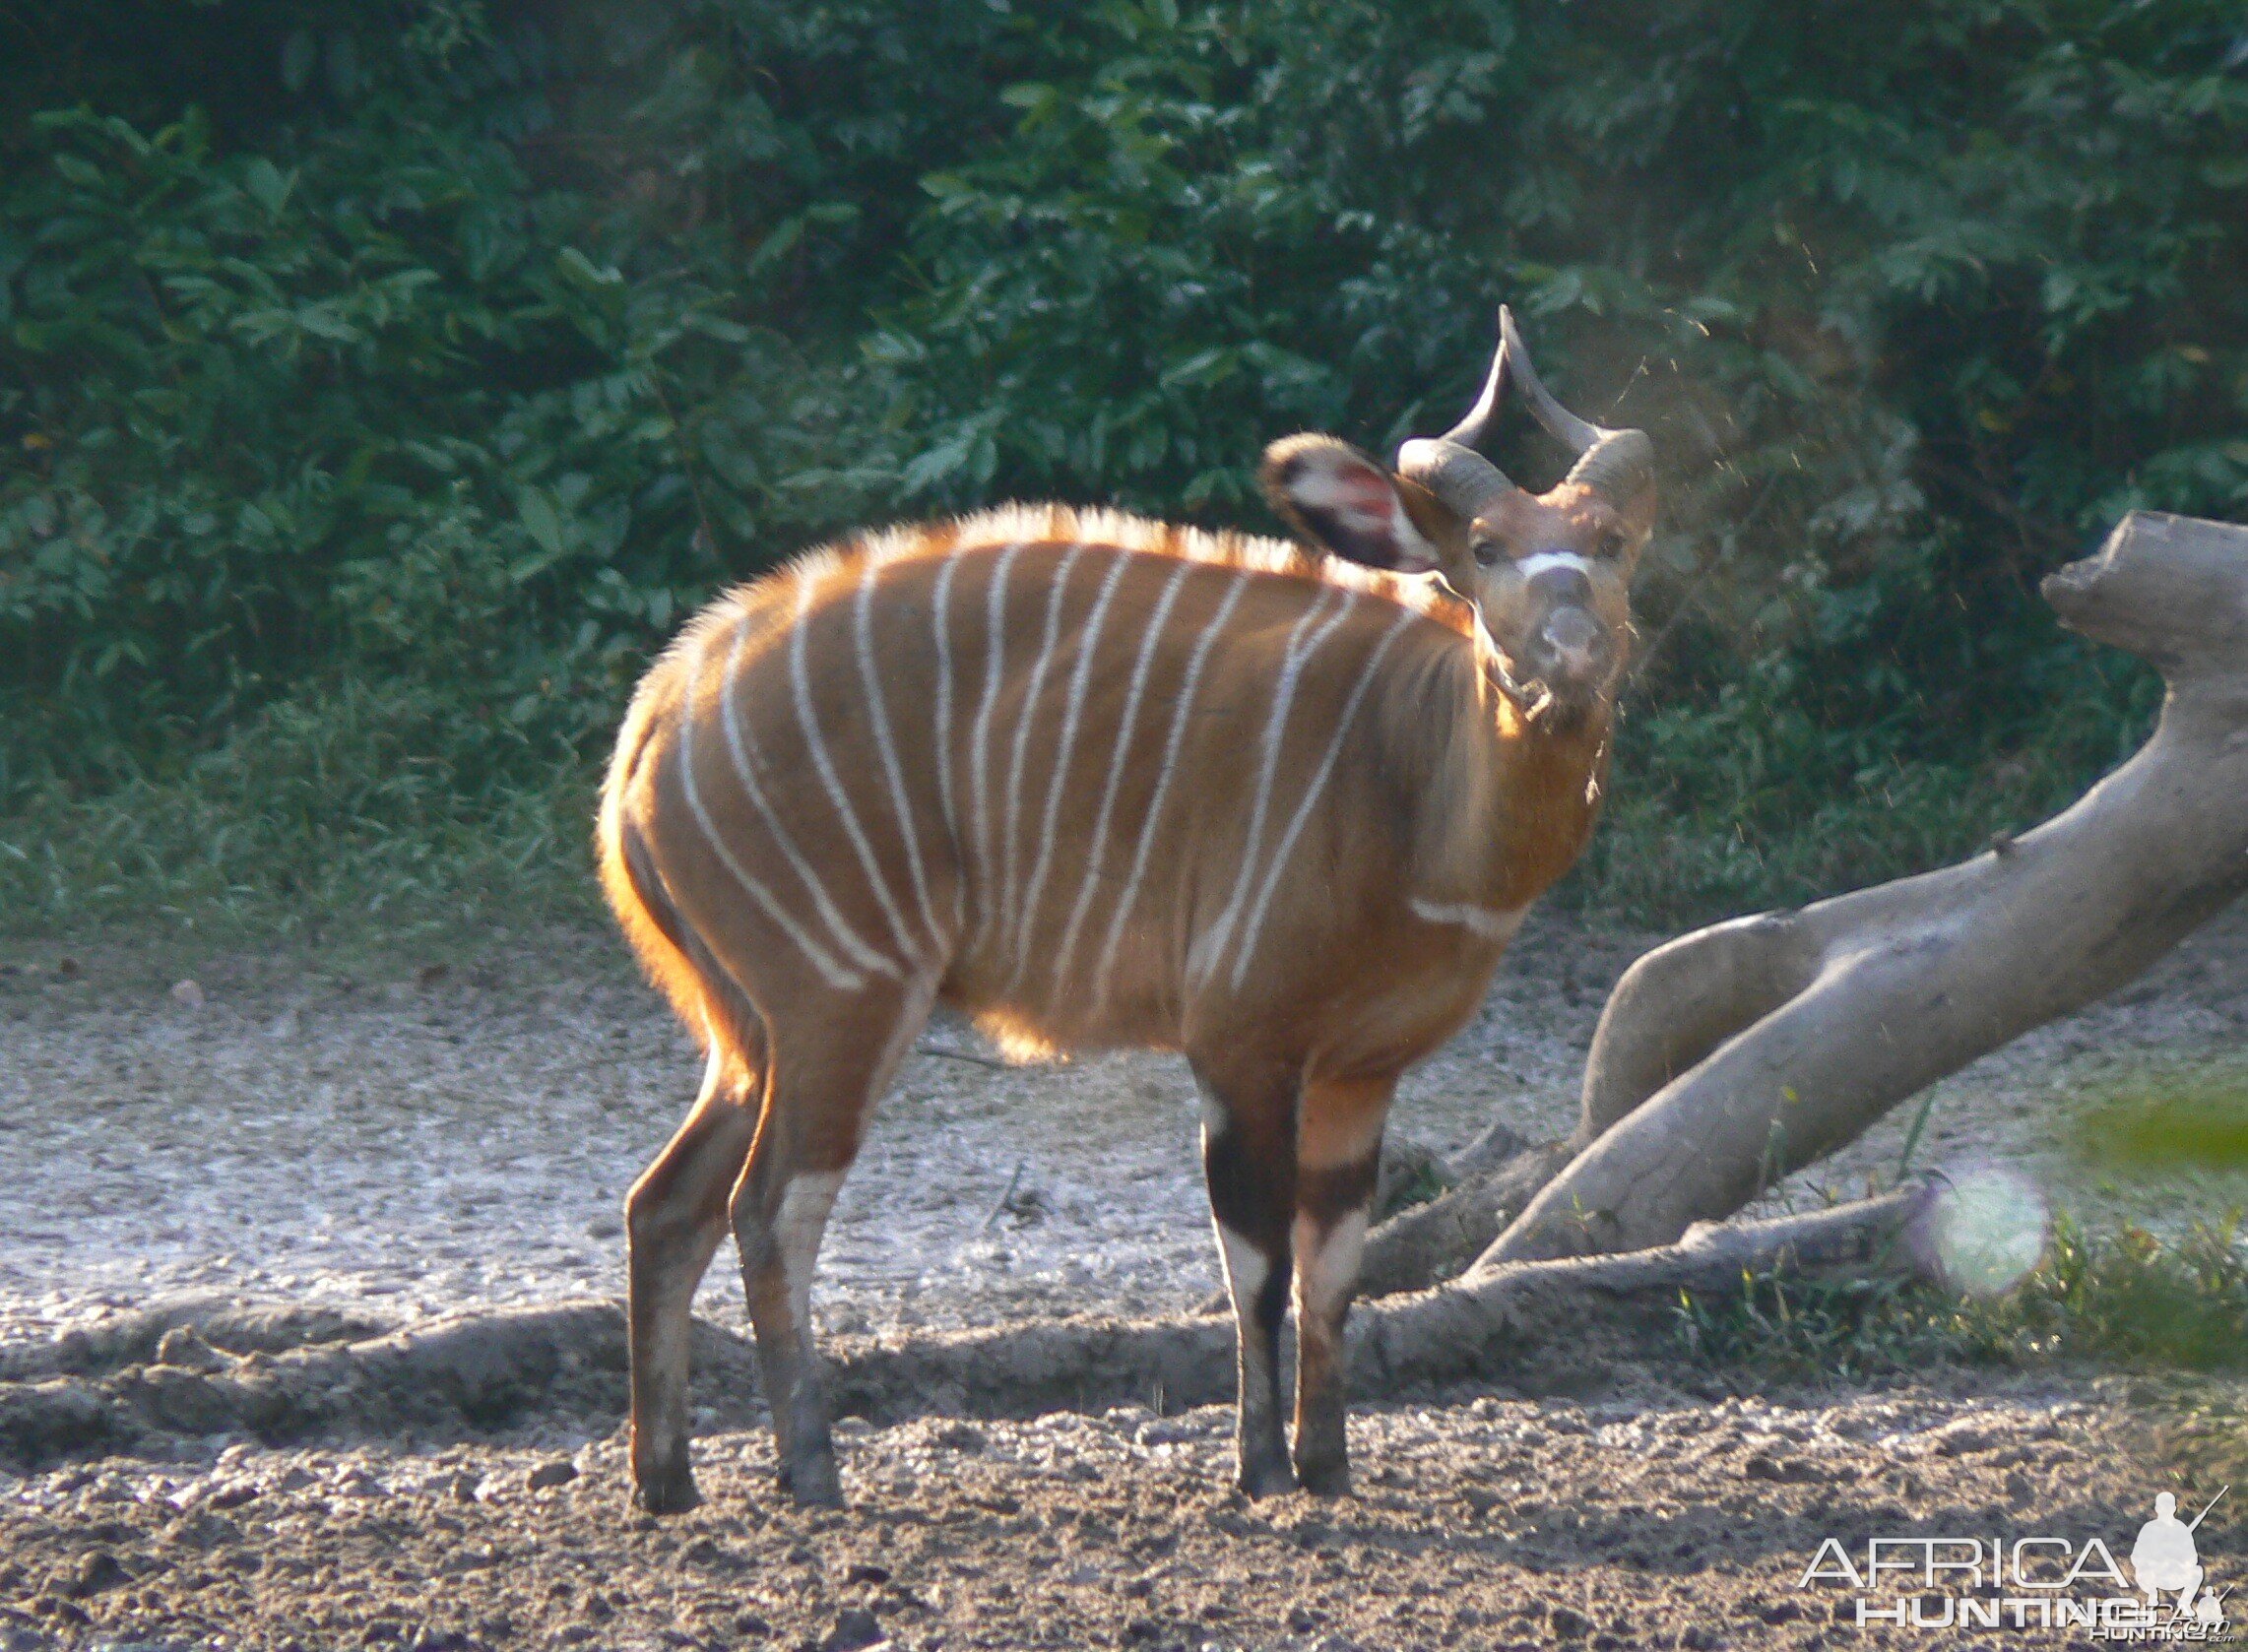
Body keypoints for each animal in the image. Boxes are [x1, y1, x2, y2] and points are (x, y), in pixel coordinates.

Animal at [598, 303, 1654, 1501]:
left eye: (1612, 543)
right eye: (1484, 551)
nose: (1570, 654)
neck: (1412, 772)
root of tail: (657, 714)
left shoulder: (1359, 1069)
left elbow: (1333, 1269)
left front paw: (1328, 1468)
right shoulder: (1239, 1042)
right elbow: (1255, 1263)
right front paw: (1261, 1471)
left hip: (750, 1030)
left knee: (665, 1203)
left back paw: (666, 1481)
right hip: (842, 1003)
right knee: (770, 1207)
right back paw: (812, 1473)